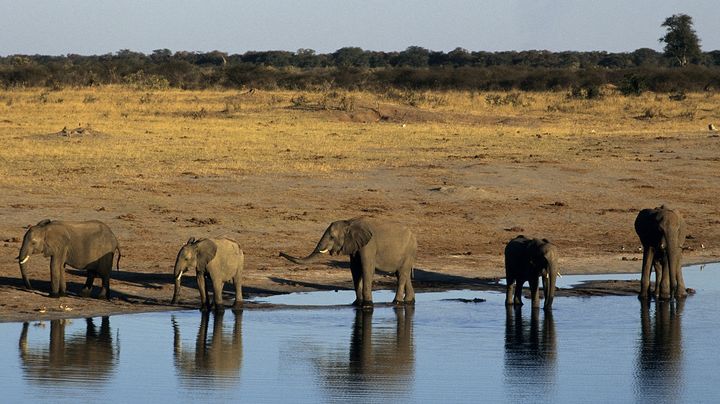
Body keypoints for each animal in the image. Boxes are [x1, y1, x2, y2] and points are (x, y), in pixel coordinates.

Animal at [280, 218, 420, 306]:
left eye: (332, 237)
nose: (280, 253)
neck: (349, 223)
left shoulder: (368, 246)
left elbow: (366, 268)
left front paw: (367, 305)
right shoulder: (355, 246)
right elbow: (355, 269)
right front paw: (356, 304)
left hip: (409, 252)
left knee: (401, 275)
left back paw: (396, 302)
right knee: (403, 274)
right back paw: (409, 301)